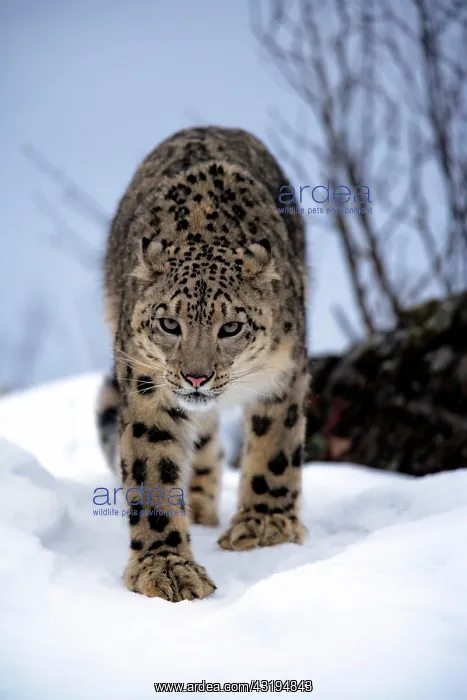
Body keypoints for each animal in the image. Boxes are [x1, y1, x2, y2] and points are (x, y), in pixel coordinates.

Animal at [97, 126, 309, 602]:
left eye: (230, 327)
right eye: (168, 324)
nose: (196, 376)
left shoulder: (284, 373)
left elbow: (276, 448)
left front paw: (264, 527)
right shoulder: (147, 386)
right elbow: (153, 469)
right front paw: (165, 568)